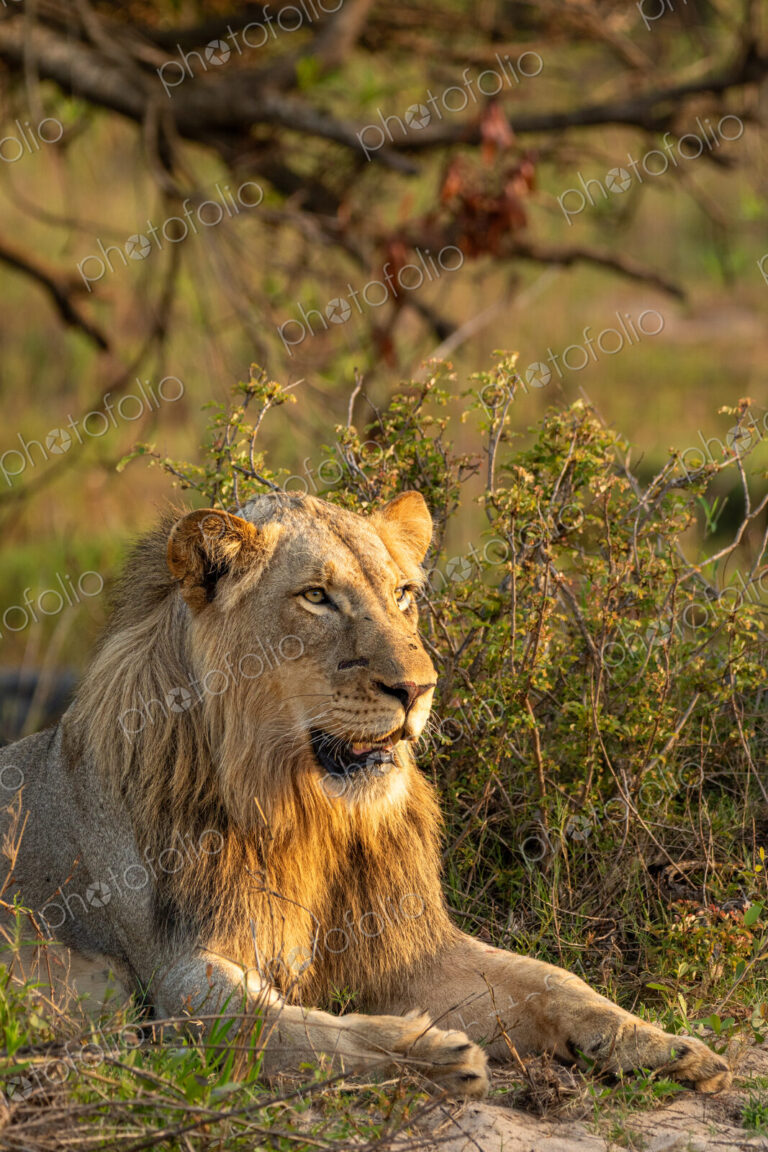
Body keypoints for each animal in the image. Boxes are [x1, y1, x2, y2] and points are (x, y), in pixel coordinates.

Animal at [0, 491, 730, 1096]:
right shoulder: (176, 973)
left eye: (404, 593)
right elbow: (280, 1028)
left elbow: (550, 979)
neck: (306, 813)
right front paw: (425, 1055)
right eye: (317, 597)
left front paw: (665, 1046)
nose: (418, 688)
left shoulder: (406, 947)